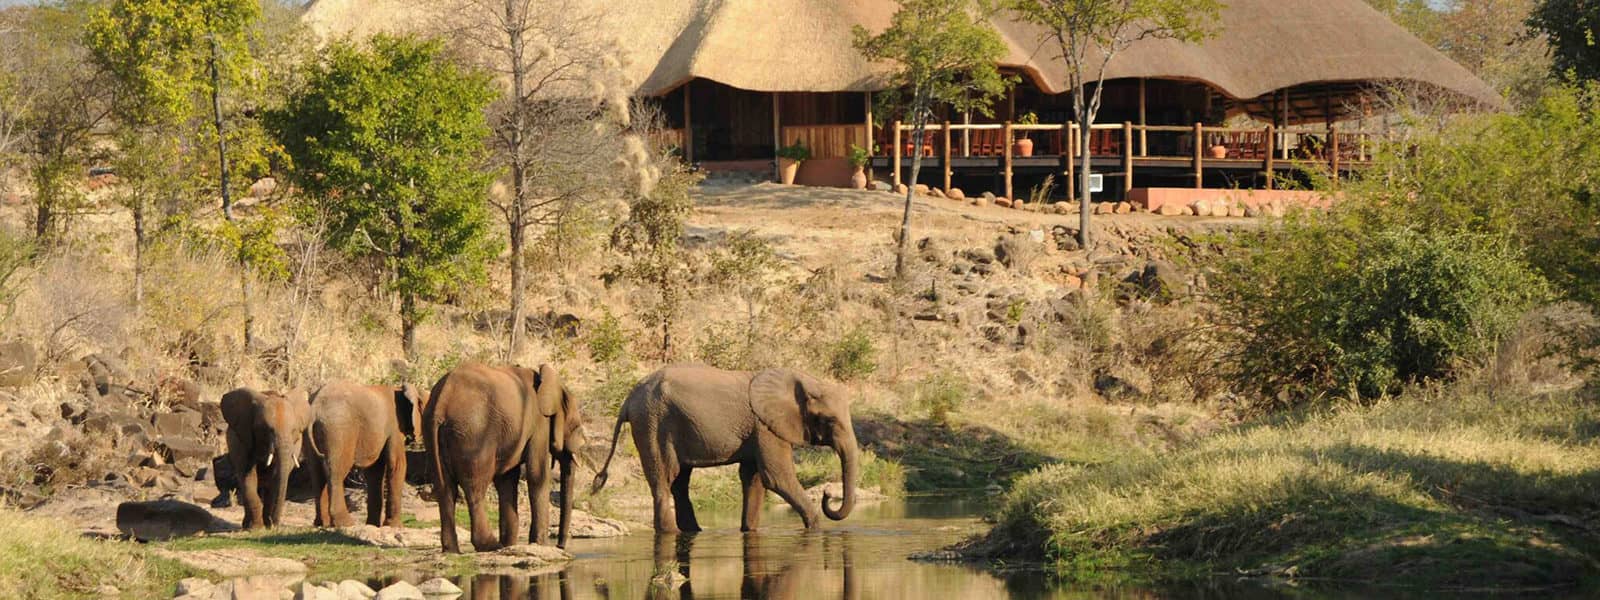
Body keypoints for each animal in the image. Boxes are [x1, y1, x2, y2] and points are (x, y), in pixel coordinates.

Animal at [220, 387, 312, 529]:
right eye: (267, 429)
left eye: (293, 430)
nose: (275, 524)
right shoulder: (243, 440)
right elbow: (248, 476)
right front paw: (256, 528)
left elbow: (275, 478)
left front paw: (268, 525)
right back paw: (247, 525)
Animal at [305, 380, 421, 528]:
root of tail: (315, 407)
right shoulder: (395, 426)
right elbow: (397, 464)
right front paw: (394, 526)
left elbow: (374, 471)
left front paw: (373, 525)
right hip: (339, 429)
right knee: (336, 472)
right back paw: (346, 523)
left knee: (317, 473)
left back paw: (322, 524)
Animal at [423, 362, 584, 552]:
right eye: (576, 427)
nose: (560, 546)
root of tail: (442, 401)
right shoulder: (539, 423)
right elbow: (537, 475)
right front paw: (540, 545)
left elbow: (507, 480)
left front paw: (511, 545)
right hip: (474, 433)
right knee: (475, 487)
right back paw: (491, 546)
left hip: (433, 431)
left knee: (445, 488)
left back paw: (452, 550)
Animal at [592, 365, 860, 534]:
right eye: (828, 421)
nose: (827, 494)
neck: (802, 380)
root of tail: (628, 400)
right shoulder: (765, 427)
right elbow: (776, 477)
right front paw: (815, 528)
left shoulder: (757, 429)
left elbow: (754, 478)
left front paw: (749, 530)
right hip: (652, 423)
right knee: (664, 479)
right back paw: (671, 532)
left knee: (679, 481)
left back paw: (693, 530)